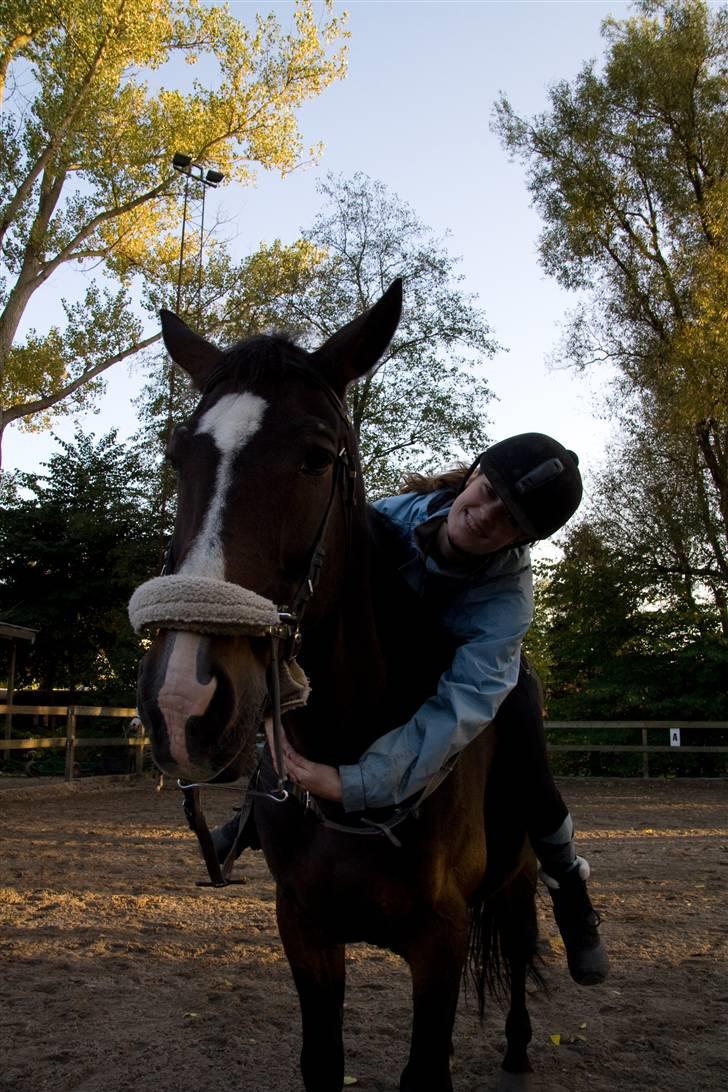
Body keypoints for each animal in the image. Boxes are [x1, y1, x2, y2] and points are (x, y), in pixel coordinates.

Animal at [132, 281, 541, 1092]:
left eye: (317, 458)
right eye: (177, 455)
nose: (183, 700)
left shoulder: (441, 941)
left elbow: (427, 1068)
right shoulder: (305, 929)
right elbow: (322, 1062)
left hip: (520, 875)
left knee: (517, 943)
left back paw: (517, 1045)